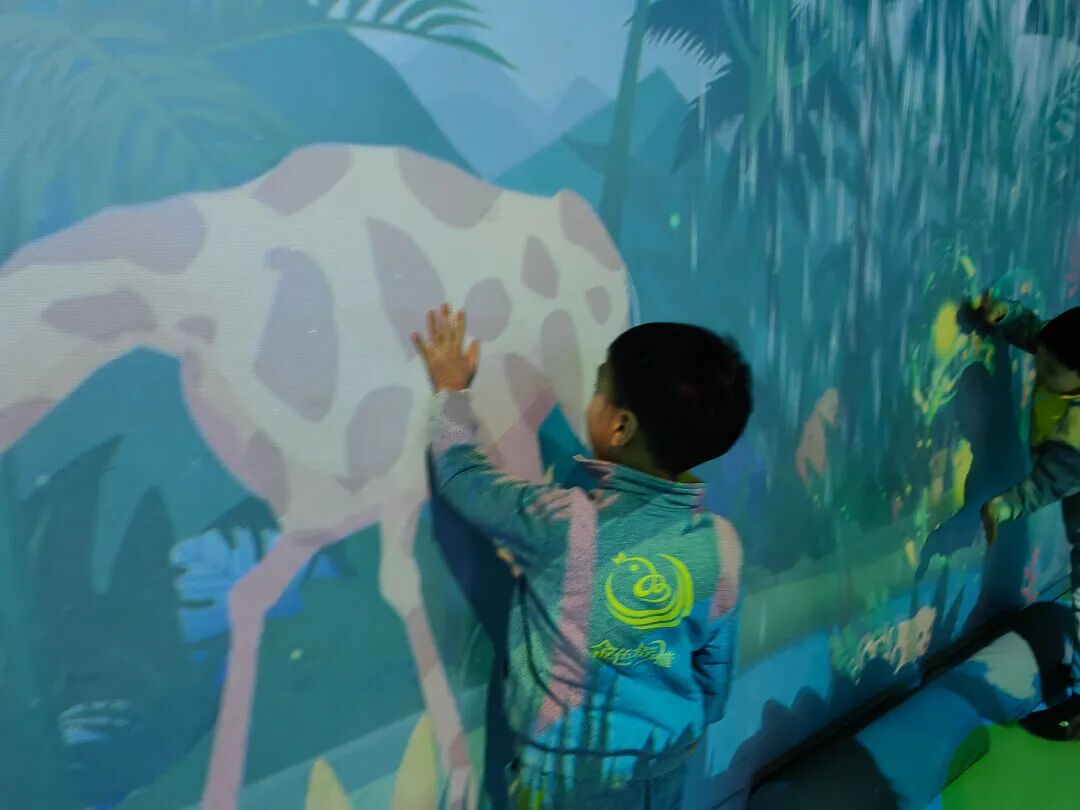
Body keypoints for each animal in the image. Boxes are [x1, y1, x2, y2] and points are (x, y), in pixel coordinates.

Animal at [0, 143, 630, 809]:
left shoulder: (392, 480)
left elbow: (401, 584)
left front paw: (461, 773)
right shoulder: (315, 509)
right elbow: (251, 595)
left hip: (569, 394)